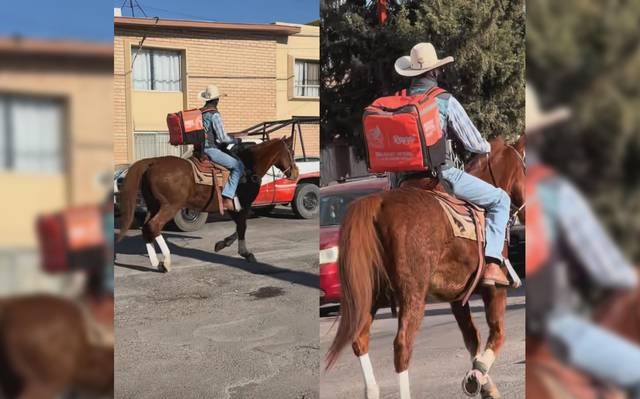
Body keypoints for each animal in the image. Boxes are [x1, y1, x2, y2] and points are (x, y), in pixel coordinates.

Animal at [119, 137, 298, 272]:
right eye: (291, 152)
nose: (295, 173)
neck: (249, 166)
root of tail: (153, 162)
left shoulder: (233, 207)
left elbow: (239, 226)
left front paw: (222, 244)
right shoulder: (243, 205)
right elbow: (242, 227)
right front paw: (245, 253)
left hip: (153, 205)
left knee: (146, 228)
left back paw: (155, 262)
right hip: (170, 206)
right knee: (154, 226)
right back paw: (166, 262)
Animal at [324, 136, 524, 398]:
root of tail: (377, 202)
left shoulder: (457, 297)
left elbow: (472, 337)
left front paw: (480, 382)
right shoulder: (495, 289)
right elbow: (497, 334)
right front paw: (481, 377)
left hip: (370, 294)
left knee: (359, 339)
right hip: (413, 294)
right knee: (402, 346)